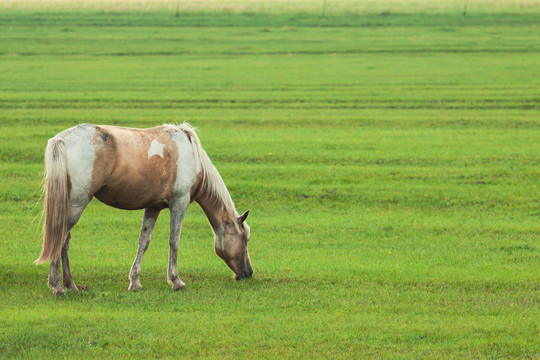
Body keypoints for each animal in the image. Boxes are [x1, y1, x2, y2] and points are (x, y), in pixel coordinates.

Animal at [37, 123, 252, 296]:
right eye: (245, 239)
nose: (248, 273)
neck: (192, 155)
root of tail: (61, 139)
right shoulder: (179, 203)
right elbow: (174, 242)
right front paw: (176, 281)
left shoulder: (153, 207)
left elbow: (143, 242)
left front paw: (135, 282)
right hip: (77, 204)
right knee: (61, 239)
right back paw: (58, 286)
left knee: (64, 242)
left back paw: (71, 285)